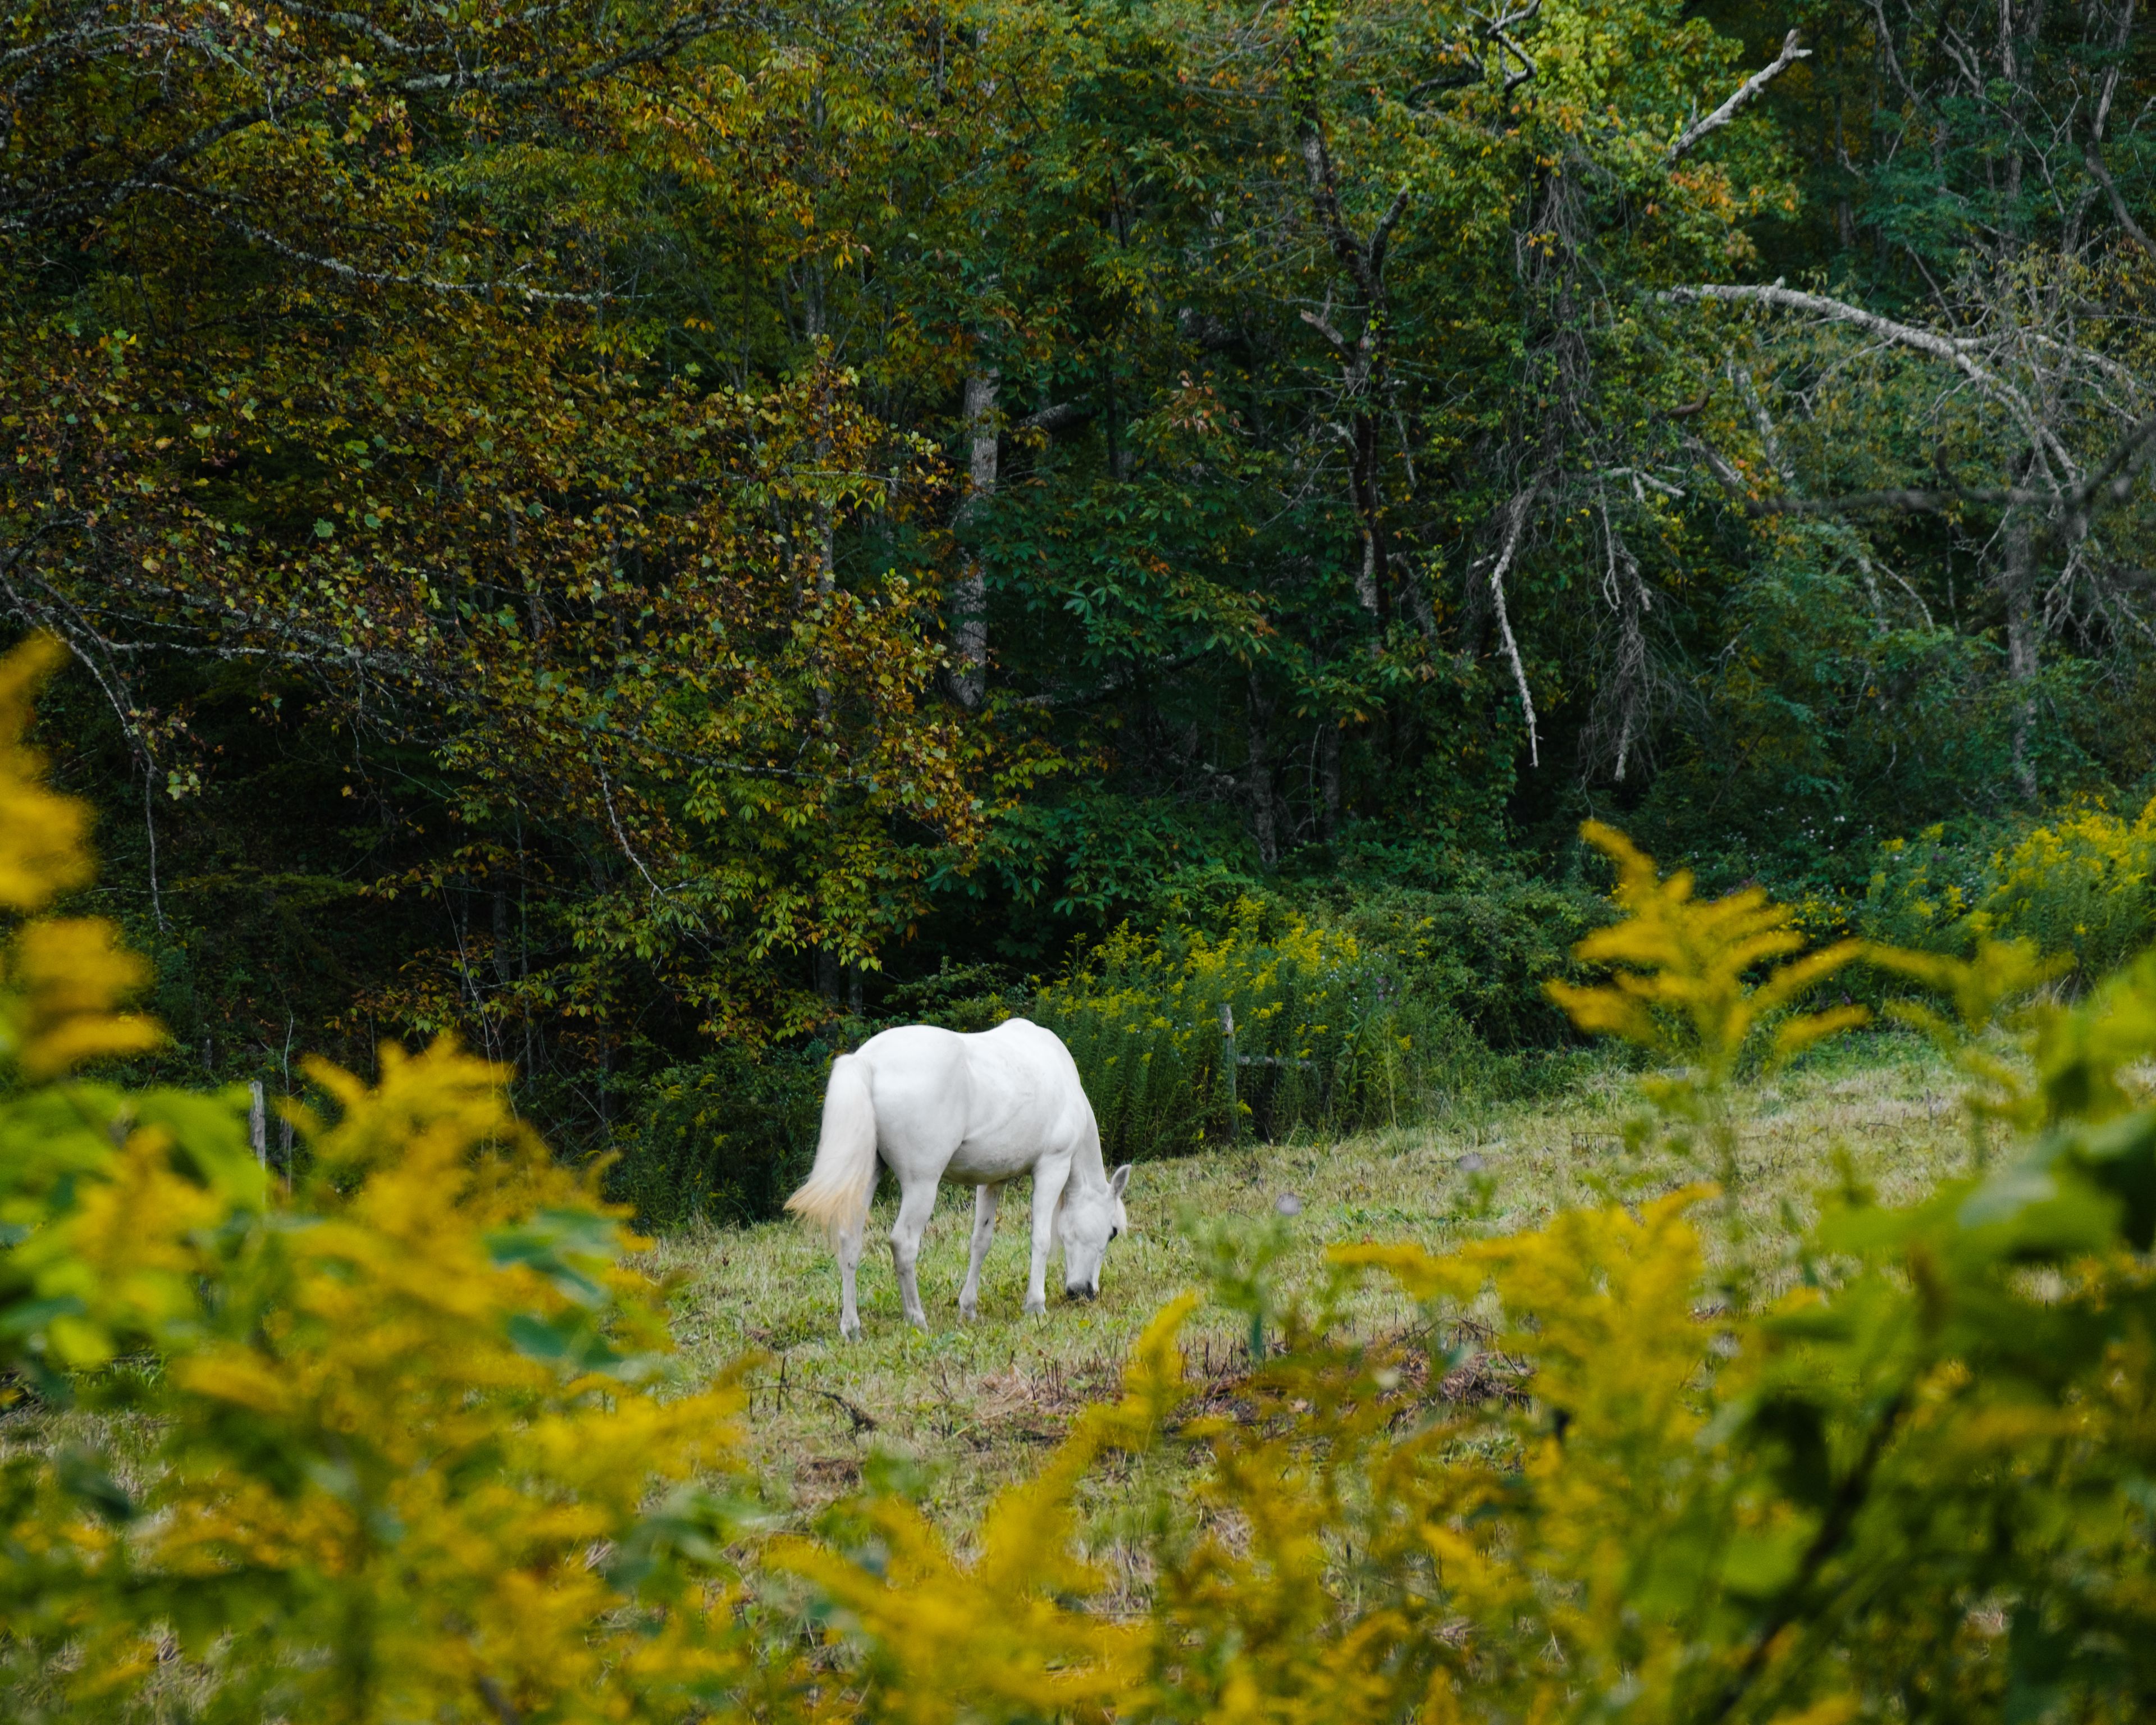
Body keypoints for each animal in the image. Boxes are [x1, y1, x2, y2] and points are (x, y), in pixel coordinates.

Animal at [784, 1018, 1131, 1339]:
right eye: (1113, 1232)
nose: (1086, 1292)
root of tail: (867, 1061)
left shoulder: (992, 1180)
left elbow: (981, 1242)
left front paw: (968, 1309)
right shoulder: (1052, 1167)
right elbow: (1041, 1239)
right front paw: (1035, 1306)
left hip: (868, 1178)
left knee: (849, 1240)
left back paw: (852, 1327)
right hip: (922, 1185)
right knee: (903, 1244)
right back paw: (916, 1319)